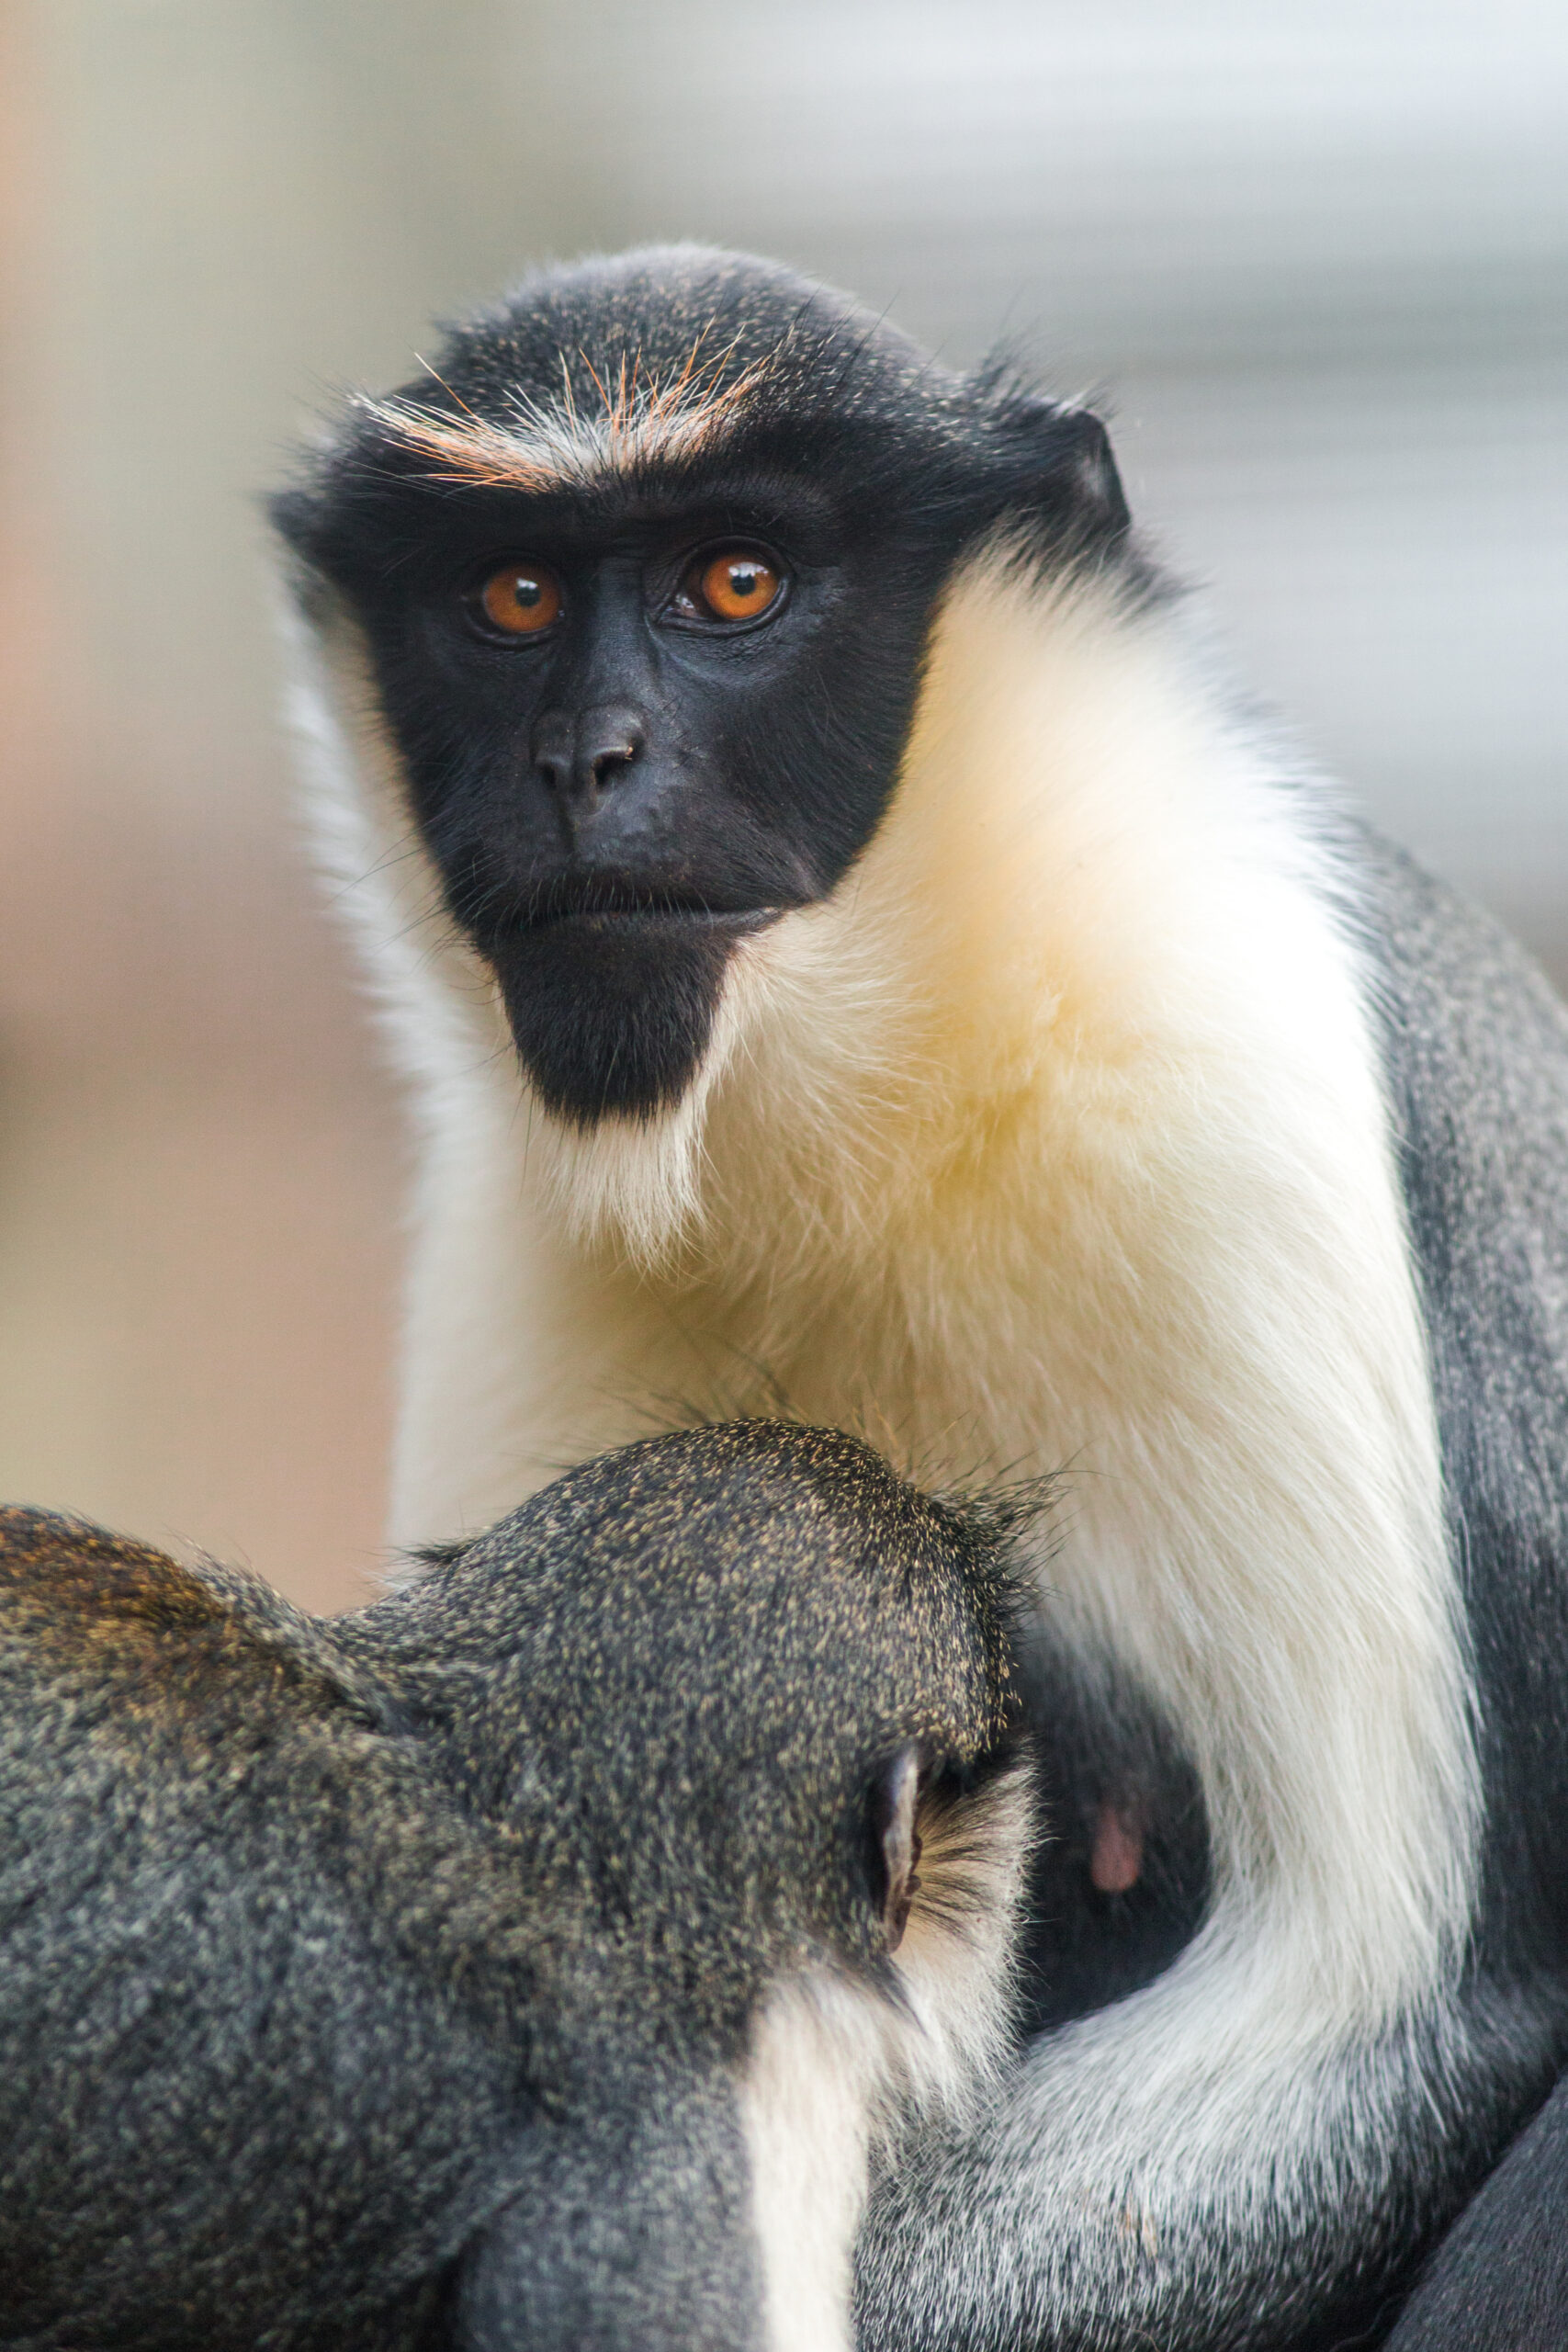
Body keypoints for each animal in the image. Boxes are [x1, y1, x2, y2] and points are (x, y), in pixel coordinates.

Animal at [268, 243, 1568, 2348]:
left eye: (734, 583)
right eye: (511, 597)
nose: (581, 763)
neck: (866, 1095)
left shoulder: (1238, 1096)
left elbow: (1359, 2023)